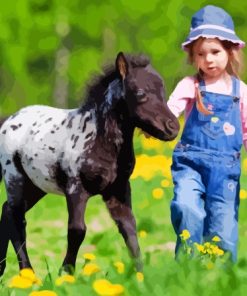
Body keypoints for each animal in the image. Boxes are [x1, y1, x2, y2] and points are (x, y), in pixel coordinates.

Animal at [0, 52, 179, 276]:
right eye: (140, 92)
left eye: (162, 91)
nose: (173, 127)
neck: (97, 138)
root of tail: (9, 120)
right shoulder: (76, 189)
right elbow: (77, 230)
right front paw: (65, 273)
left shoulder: (118, 190)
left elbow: (129, 228)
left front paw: (141, 276)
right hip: (15, 179)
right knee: (16, 219)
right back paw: (28, 274)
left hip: (37, 186)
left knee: (6, 211)